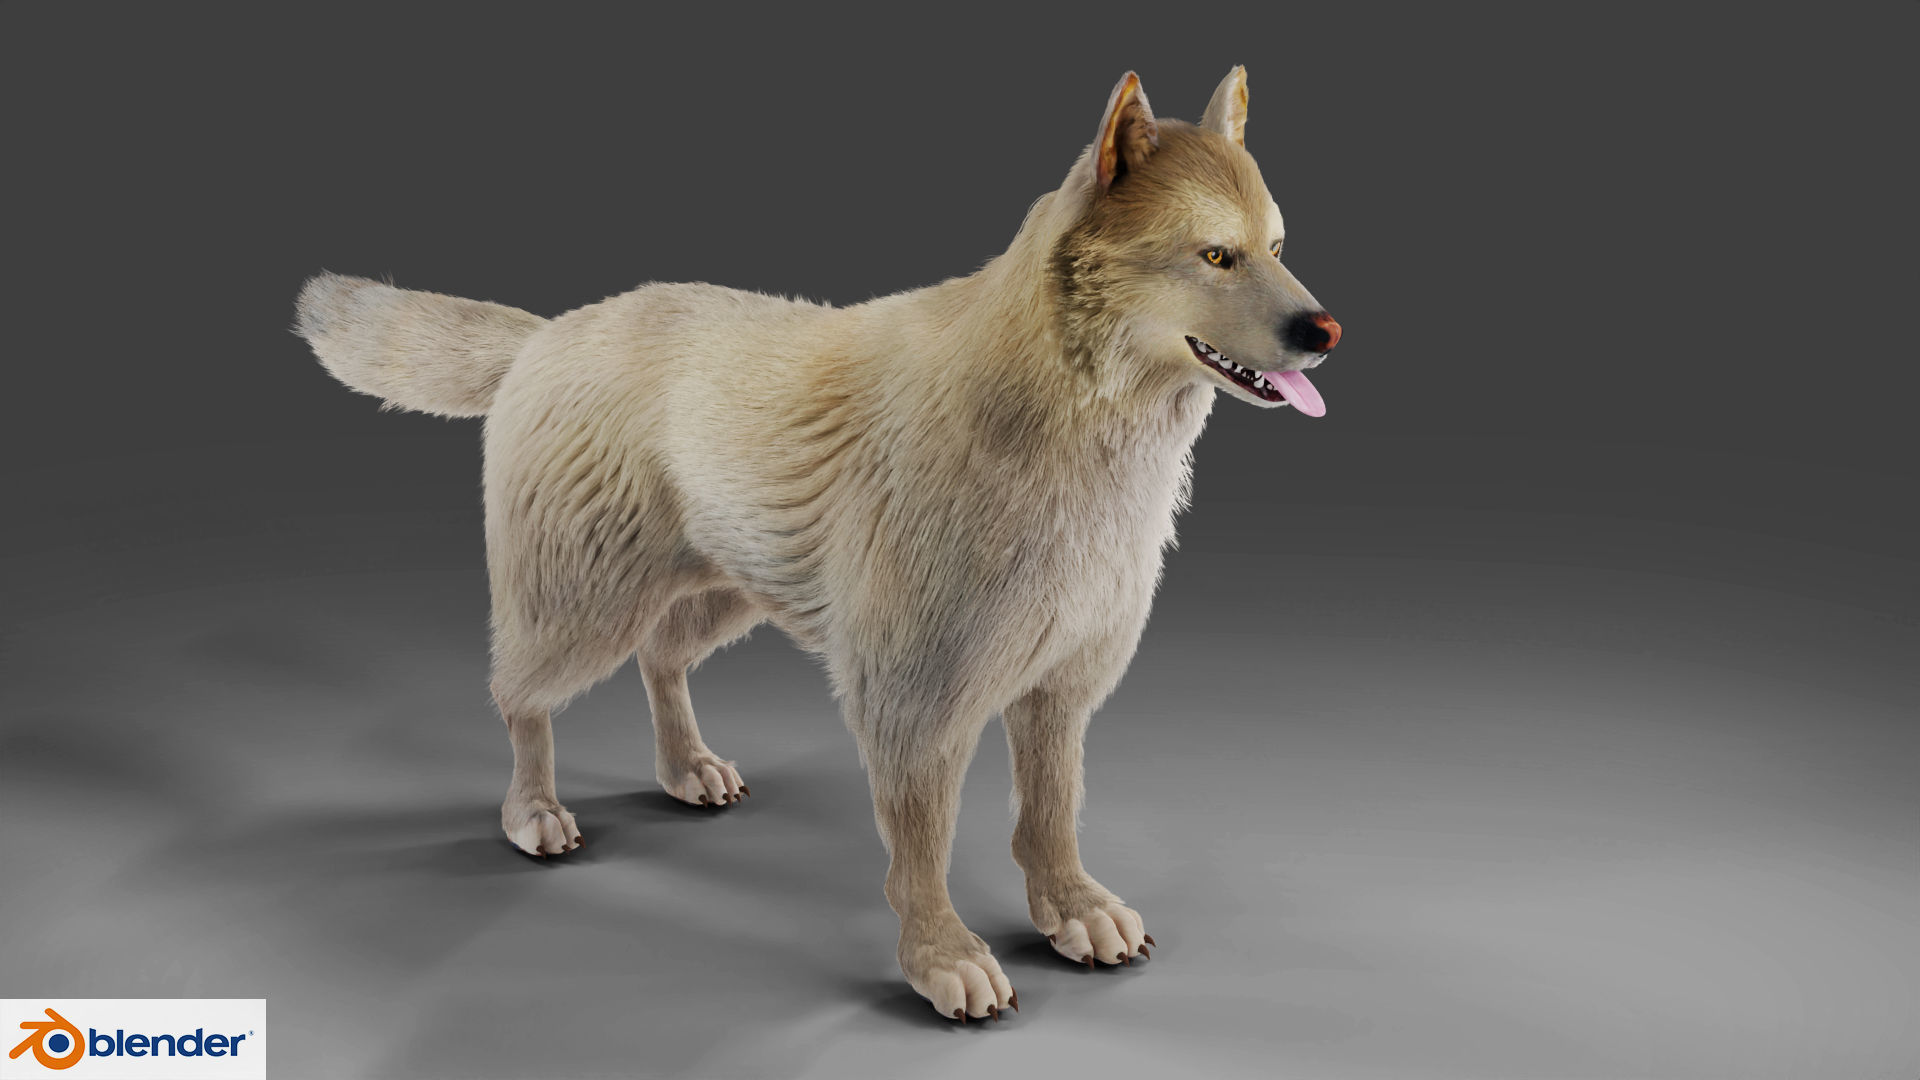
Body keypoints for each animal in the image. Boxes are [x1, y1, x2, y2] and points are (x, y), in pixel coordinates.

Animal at [294, 67, 1341, 1021]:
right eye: (1215, 255)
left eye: (1277, 248)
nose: (1324, 329)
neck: (1060, 416)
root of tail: (550, 334)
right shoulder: (916, 704)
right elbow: (923, 847)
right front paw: (941, 954)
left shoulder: (1057, 691)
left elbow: (1051, 815)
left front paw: (1070, 907)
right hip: (579, 608)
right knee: (520, 699)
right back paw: (535, 809)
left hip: (724, 589)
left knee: (660, 657)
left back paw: (686, 766)